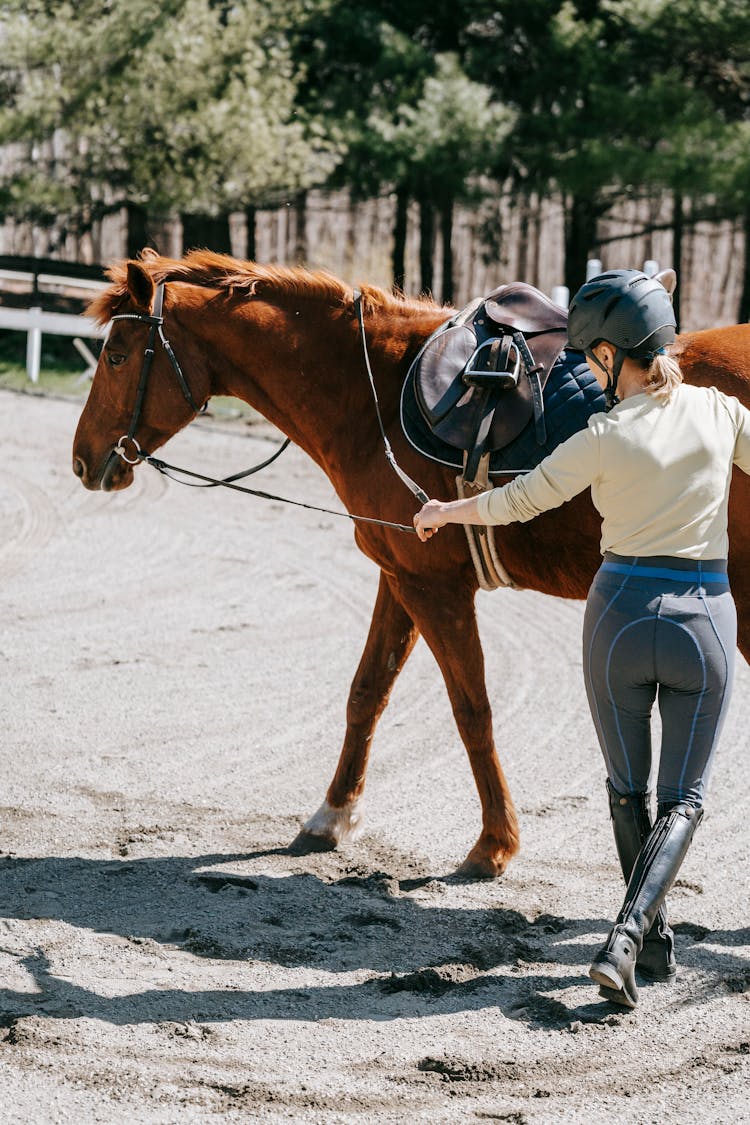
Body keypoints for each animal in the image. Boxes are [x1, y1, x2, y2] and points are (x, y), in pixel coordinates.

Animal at [70, 255, 750, 877]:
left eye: (118, 357)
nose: (82, 459)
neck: (373, 395)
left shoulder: (435, 589)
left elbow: (472, 709)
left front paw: (493, 845)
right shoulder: (398, 579)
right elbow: (367, 692)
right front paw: (332, 816)